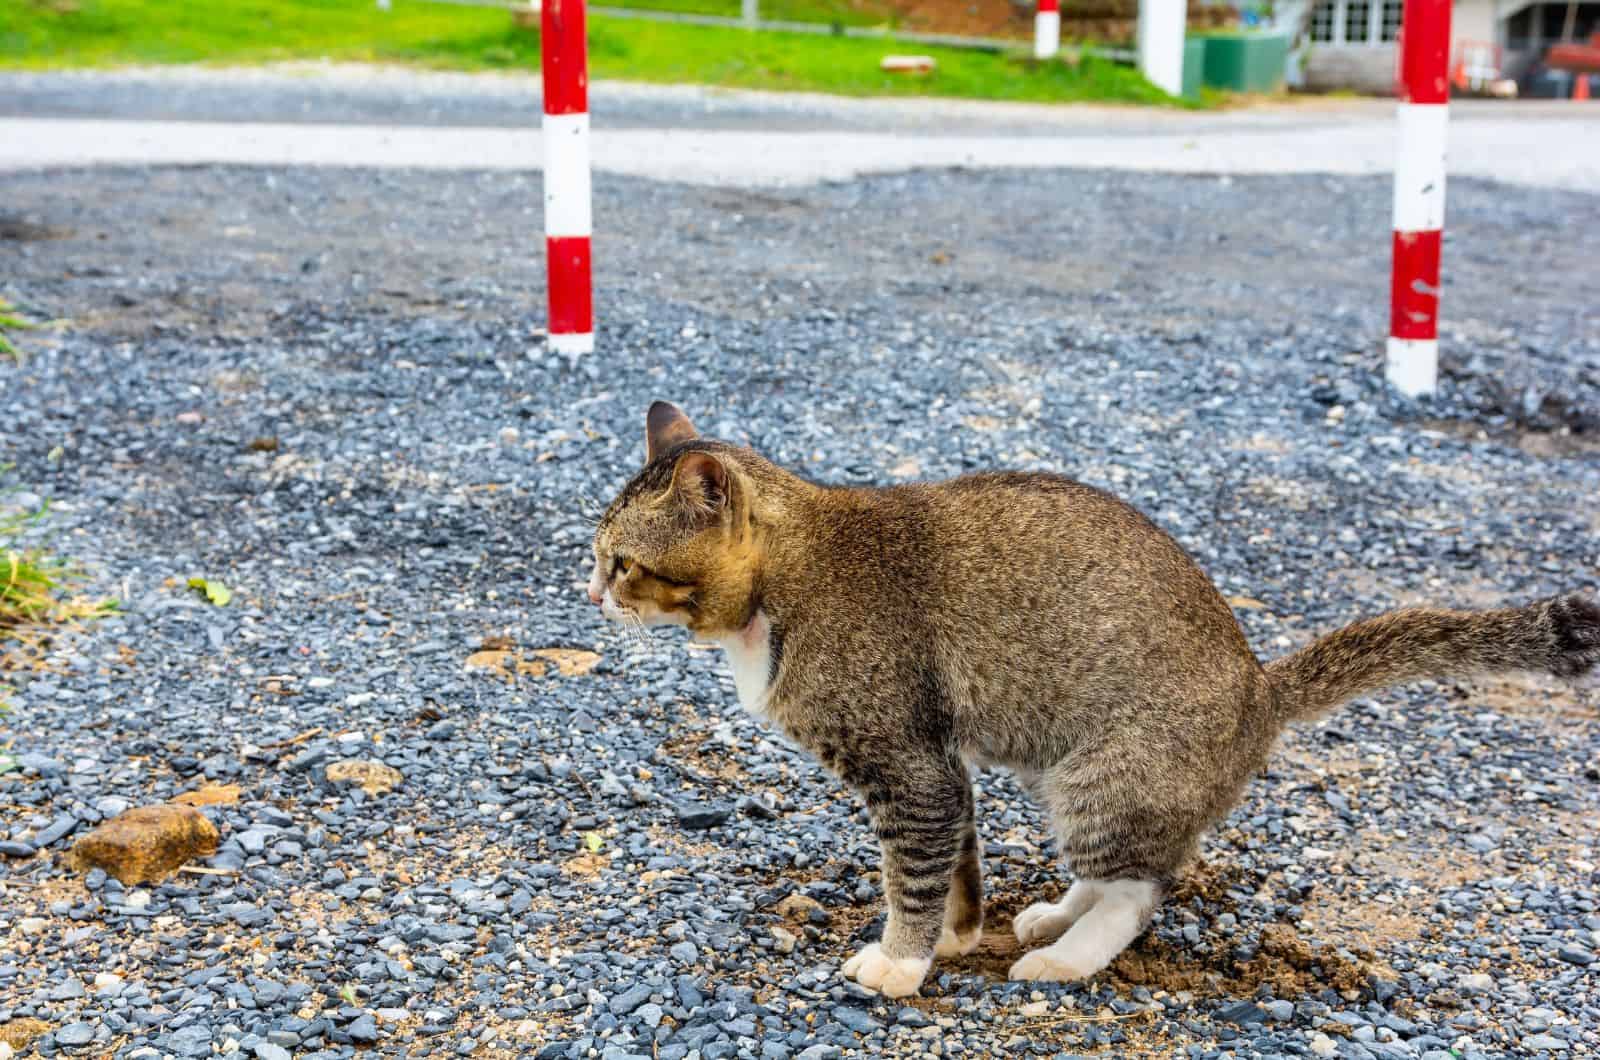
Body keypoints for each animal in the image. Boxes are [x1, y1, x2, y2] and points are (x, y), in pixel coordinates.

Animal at [588, 403, 1600, 999]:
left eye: (625, 562)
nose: (590, 590)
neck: (790, 577)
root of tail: (1258, 687)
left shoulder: (908, 770)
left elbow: (911, 877)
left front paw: (902, 962)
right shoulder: (942, 764)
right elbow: (957, 865)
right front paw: (957, 936)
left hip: (1105, 773)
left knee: (1141, 887)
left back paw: (1068, 957)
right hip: (1064, 767)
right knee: (1117, 868)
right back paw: (1052, 915)